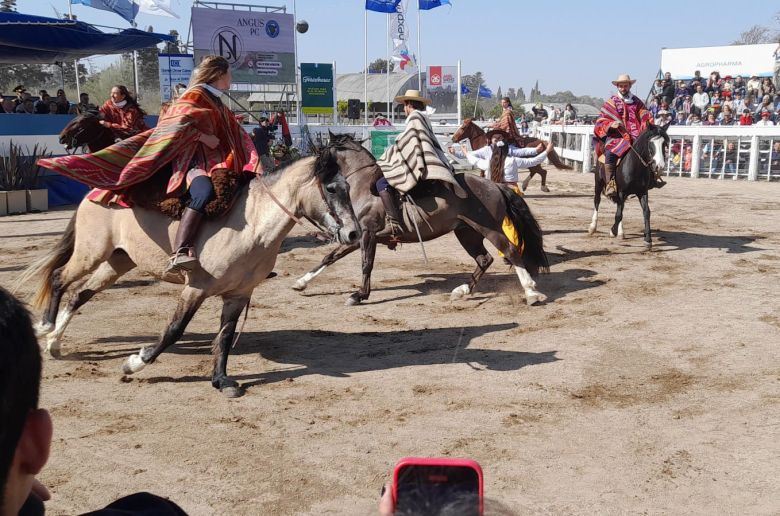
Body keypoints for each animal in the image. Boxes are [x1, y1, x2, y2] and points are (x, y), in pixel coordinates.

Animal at [18, 151, 360, 398]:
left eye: (348, 188)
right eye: (331, 188)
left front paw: (222, 381)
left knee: (80, 293)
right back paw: (46, 328)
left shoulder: (238, 295)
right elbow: (174, 330)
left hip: (117, 261)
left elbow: (224, 337)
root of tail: (97, 192)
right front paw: (135, 363)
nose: (354, 233)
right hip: (91, 253)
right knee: (60, 277)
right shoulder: (195, 288)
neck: (252, 225)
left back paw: (55, 344)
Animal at [290, 133, 552, 308]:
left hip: (489, 229)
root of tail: (494, 185)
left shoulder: (367, 234)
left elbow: (366, 264)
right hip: (467, 232)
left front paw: (359, 295)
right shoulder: (357, 235)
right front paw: (301, 282)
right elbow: (330, 256)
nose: (313, 172)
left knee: (511, 251)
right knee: (484, 259)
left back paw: (531, 293)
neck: (364, 185)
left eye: (322, 154)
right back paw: (462, 290)